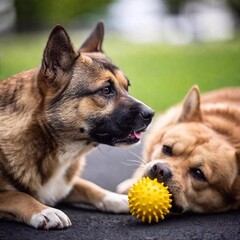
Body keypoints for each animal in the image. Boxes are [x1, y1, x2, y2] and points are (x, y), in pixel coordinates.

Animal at [0, 22, 154, 229]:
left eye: (126, 87)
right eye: (106, 89)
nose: (151, 114)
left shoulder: (62, 186)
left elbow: (88, 186)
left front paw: (117, 198)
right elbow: (16, 195)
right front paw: (44, 211)